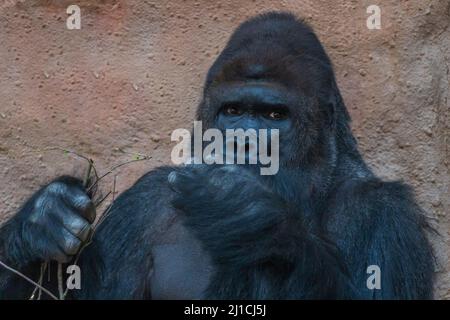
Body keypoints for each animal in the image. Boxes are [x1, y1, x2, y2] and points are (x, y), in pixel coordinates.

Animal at [0, 11, 436, 298]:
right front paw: (41, 221)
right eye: (233, 111)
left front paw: (248, 216)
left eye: (274, 116)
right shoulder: (142, 203)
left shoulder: (389, 215)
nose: (243, 143)